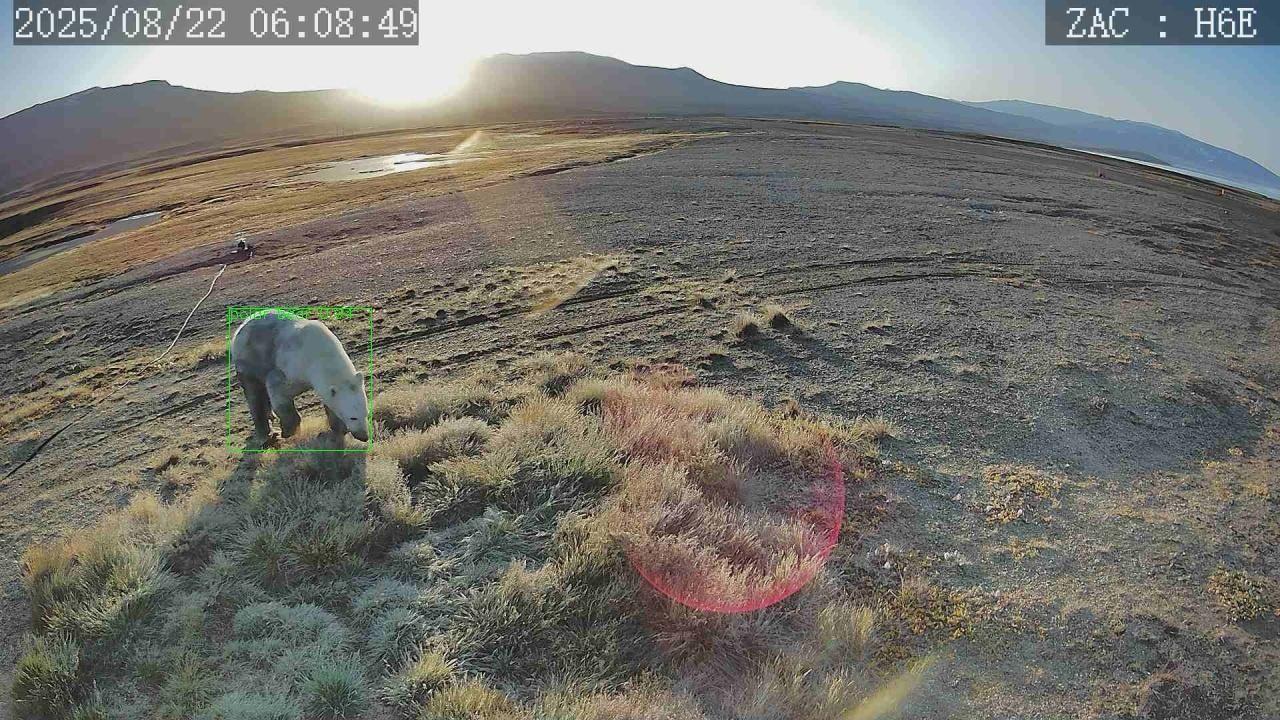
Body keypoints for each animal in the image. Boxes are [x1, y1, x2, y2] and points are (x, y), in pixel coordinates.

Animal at [230, 309, 369, 444]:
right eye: (353, 417)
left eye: (366, 413)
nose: (364, 437)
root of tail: (242, 325)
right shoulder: (292, 365)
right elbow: (279, 390)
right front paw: (289, 431)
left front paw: (339, 428)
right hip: (249, 358)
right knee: (253, 393)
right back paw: (265, 434)